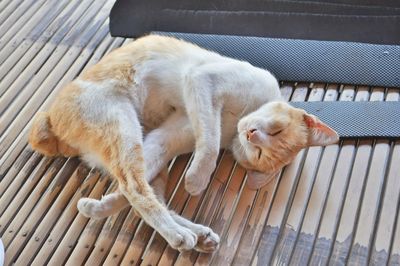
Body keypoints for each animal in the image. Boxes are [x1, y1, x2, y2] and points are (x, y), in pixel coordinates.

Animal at [28, 34, 338, 252]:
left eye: (260, 153)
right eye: (276, 131)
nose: (251, 134)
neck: (234, 120)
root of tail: (50, 117)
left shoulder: (169, 134)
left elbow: (125, 193)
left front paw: (102, 205)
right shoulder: (202, 80)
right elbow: (210, 145)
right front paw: (197, 180)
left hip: (142, 144)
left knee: (140, 190)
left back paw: (197, 236)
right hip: (122, 124)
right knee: (135, 187)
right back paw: (180, 234)